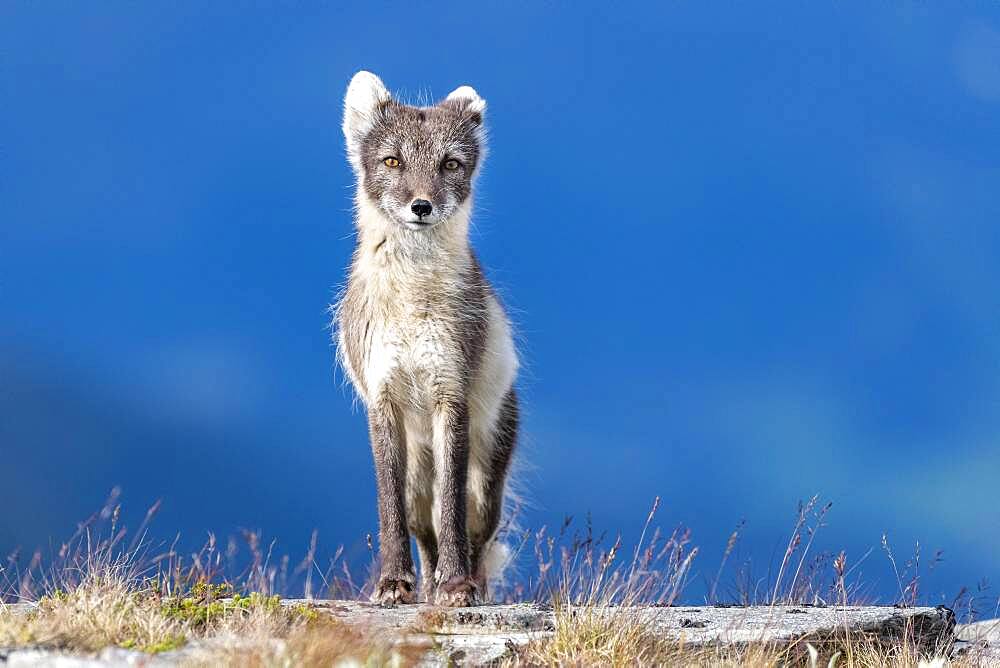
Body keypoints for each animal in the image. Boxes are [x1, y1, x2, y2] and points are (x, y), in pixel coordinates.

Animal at [338, 70, 520, 608]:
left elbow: (453, 507)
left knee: (474, 529)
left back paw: (465, 585)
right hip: (419, 476)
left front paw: (456, 586)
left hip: (487, 476)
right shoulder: (383, 397)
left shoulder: (450, 391)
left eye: (450, 163)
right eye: (393, 161)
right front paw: (394, 583)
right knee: (423, 527)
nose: (422, 206)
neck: (414, 296)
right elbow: (390, 507)